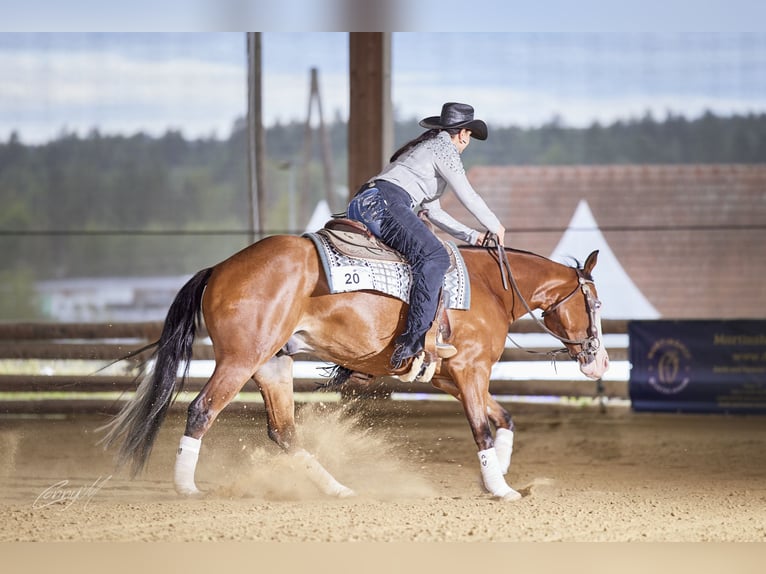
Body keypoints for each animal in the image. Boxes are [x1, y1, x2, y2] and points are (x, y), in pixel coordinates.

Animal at [100, 234, 609, 501]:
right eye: (595, 303)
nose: (600, 361)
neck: (490, 286)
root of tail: (220, 268)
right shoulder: (469, 371)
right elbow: (482, 428)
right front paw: (499, 486)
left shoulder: (452, 377)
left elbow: (502, 417)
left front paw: (498, 475)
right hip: (240, 360)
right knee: (201, 410)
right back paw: (186, 486)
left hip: (272, 367)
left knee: (284, 432)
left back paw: (336, 488)